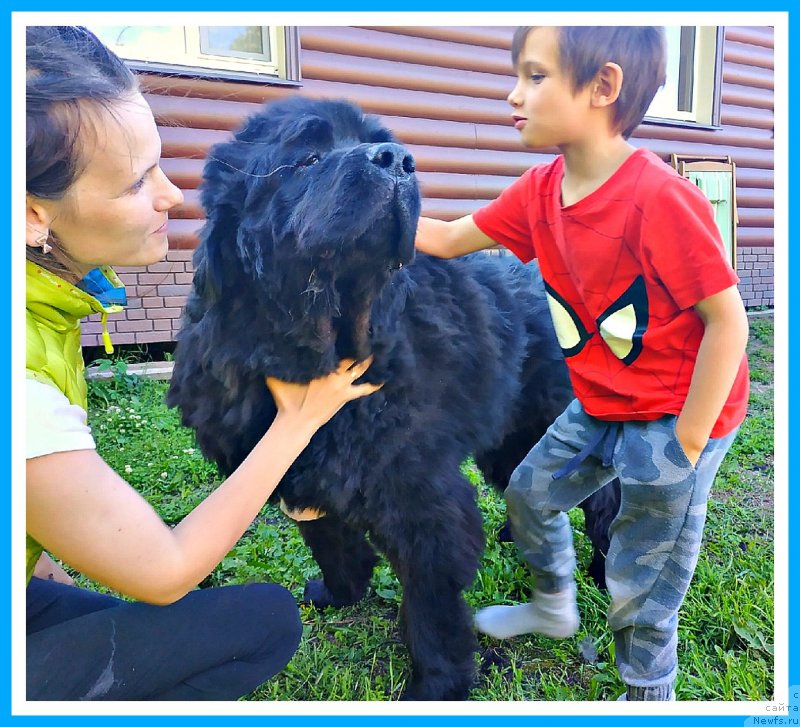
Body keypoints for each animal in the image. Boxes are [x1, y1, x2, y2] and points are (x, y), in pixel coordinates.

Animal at [167, 95, 620, 700]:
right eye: (308, 158)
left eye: (379, 142)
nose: (399, 160)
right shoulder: (295, 468)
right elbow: (328, 537)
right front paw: (340, 592)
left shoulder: (418, 495)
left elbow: (430, 603)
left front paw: (437, 685)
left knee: (602, 499)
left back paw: (602, 569)